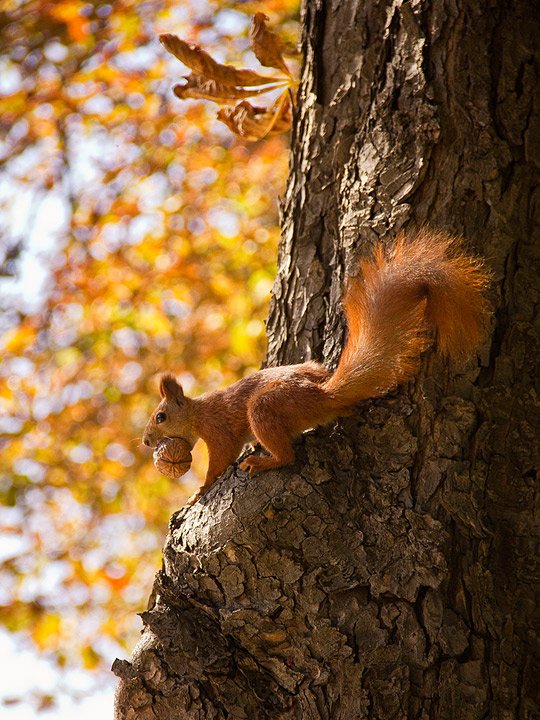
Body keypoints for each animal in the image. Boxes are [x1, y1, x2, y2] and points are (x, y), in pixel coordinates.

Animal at [142, 229, 490, 496]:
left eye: (160, 417)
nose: (146, 441)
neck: (197, 412)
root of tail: (323, 396)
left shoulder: (218, 431)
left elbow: (221, 458)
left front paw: (200, 490)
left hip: (266, 408)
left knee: (287, 455)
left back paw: (264, 460)